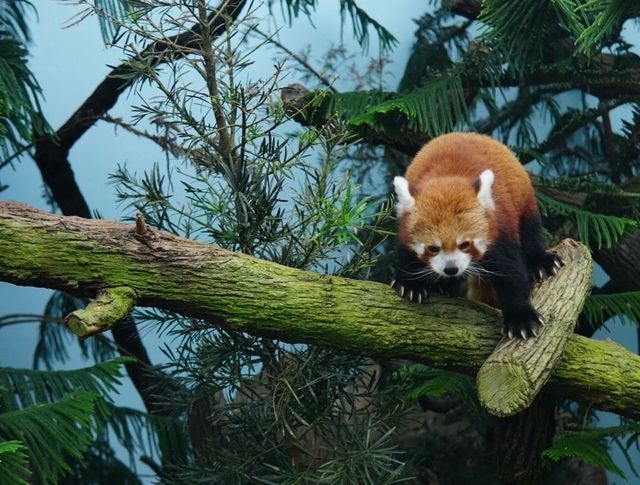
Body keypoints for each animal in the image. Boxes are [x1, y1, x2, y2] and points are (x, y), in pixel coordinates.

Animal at [392, 130, 564, 338]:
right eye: (433, 248)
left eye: (465, 244)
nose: (451, 269)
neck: (447, 178)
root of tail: (469, 133)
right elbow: (405, 256)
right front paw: (411, 284)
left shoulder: (498, 231)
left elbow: (511, 274)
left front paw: (521, 318)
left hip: (524, 199)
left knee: (530, 232)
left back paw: (541, 262)